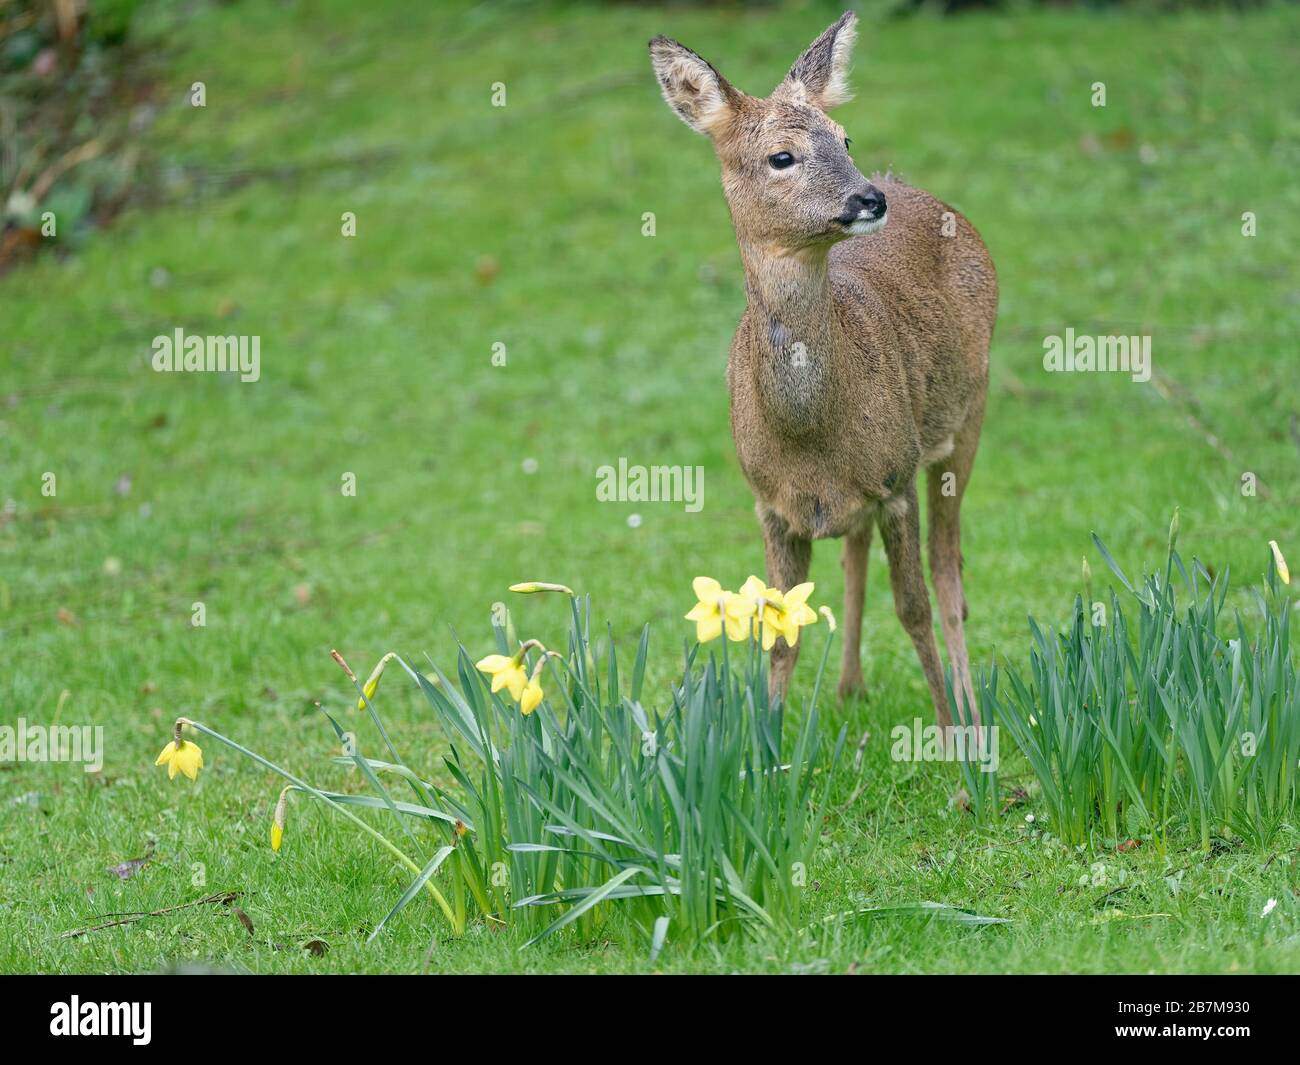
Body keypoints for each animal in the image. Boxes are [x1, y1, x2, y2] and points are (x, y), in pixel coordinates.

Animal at [647, 8, 993, 728]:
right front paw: (767, 742)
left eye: (844, 136)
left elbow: (914, 609)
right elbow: (779, 630)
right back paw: (849, 687)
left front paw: (951, 742)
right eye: (782, 156)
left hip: (969, 410)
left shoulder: (894, 478)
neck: (809, 432)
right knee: (857, 556)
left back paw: (971, 709)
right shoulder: (771, 504)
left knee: (950, 572)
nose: (868, 199)